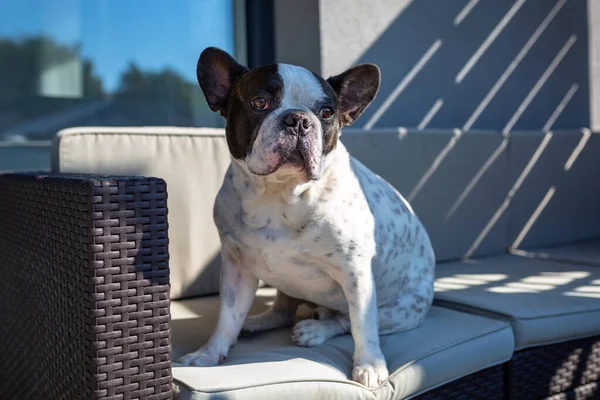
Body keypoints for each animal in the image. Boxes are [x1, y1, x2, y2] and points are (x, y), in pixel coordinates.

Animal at [178, 47, 436, 388]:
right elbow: (226, 317)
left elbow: (363, 324)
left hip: (401, 311)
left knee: (344, 320)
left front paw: (369, 364)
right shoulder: (237, 269)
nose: (299, 119)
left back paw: (315, 330)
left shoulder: (356, 273)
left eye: (326, 112)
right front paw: (209, 353)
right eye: (259, 102)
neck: (279, 195)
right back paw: (258, 321)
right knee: (285, 309)